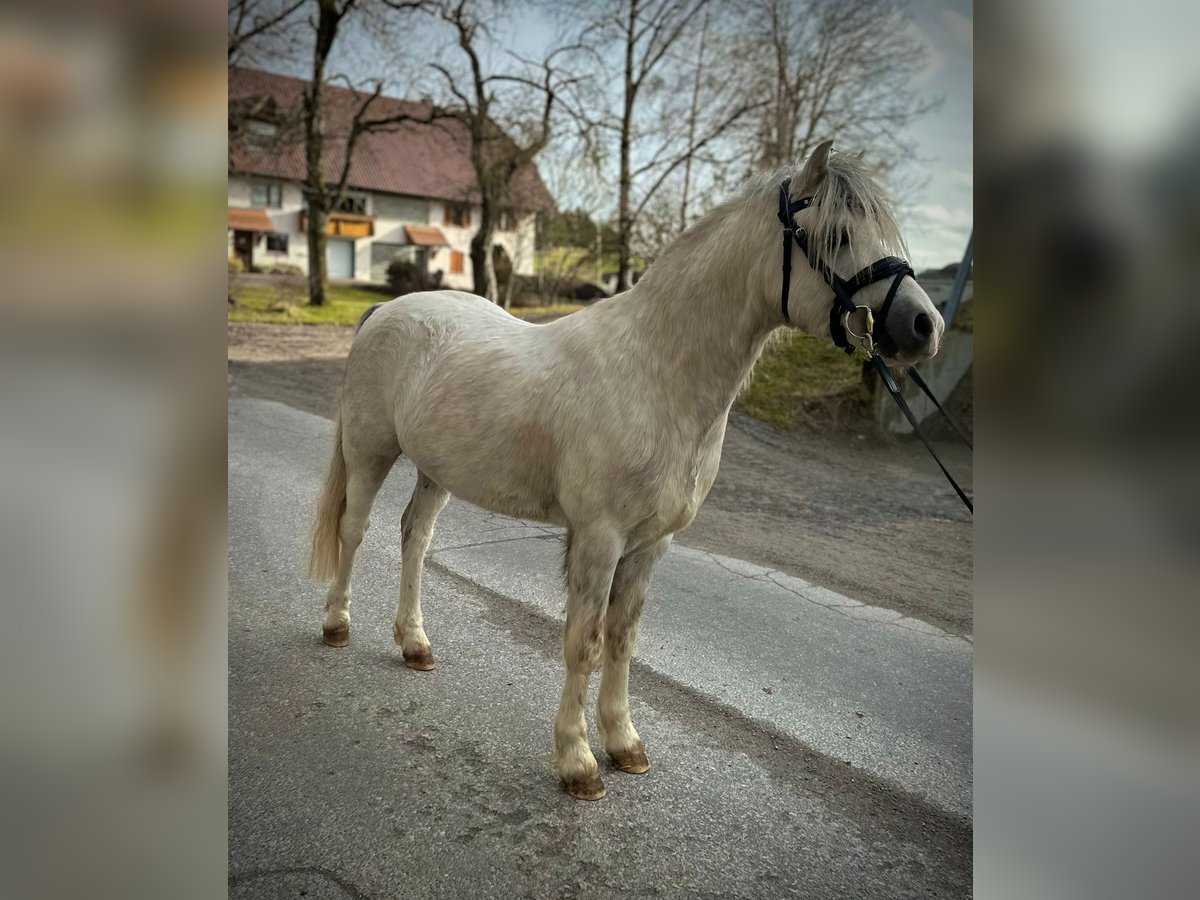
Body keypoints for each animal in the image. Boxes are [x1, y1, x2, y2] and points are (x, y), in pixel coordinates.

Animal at [304, 142, 940, 801]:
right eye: (837, 235)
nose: (925, 327)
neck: (656, 372)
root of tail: (386, 310)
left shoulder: (650, 544)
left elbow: (622, 640)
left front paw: (624, 744)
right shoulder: (599, 538)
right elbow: (583, 642)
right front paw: (578, 761)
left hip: (438, 470)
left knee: (415, 536)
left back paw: (414, 644)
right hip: (370, 452)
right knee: (355, 530)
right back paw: (336, 624)